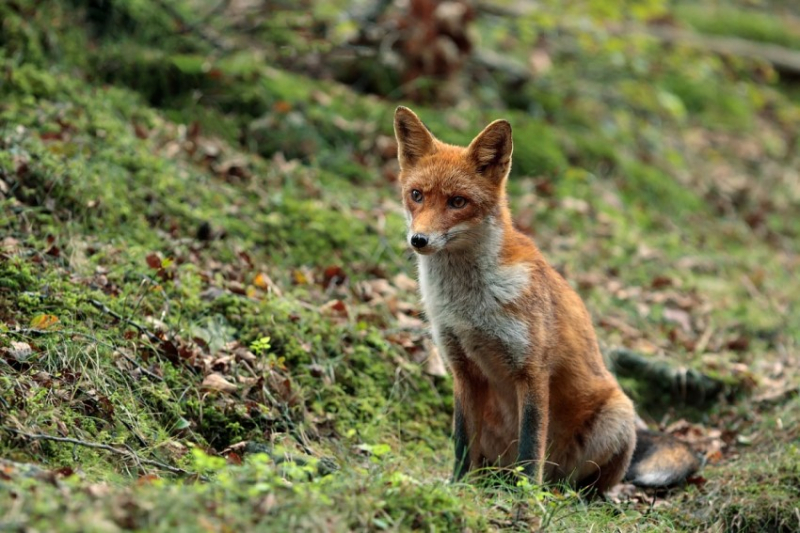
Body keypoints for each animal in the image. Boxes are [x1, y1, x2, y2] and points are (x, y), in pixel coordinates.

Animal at [394, 106, 700, 492]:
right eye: (417, 195)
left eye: (458, 202)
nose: (418, 240)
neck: (469, 306)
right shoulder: (463, 371)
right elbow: (462, 443)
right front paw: (458, 486)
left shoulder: (533, 371)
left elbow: (530, 447)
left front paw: (525, 497)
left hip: (616, 417)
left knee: (588, 483)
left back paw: (561, 494)